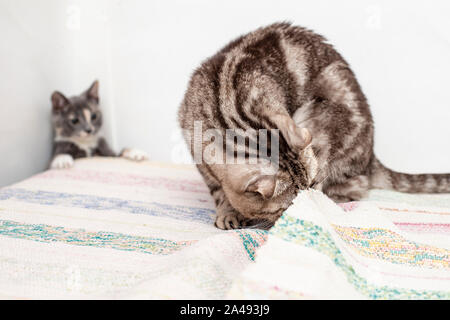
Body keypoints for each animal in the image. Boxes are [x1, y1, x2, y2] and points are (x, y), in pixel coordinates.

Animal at [179, 22, 450, 230]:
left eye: (311, 185)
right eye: (291, 203)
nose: (309, 202)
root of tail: (372, 159)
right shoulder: (198, 155)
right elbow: (218, 191)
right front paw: (228, 211)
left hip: (323, 112)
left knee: (354, 188)